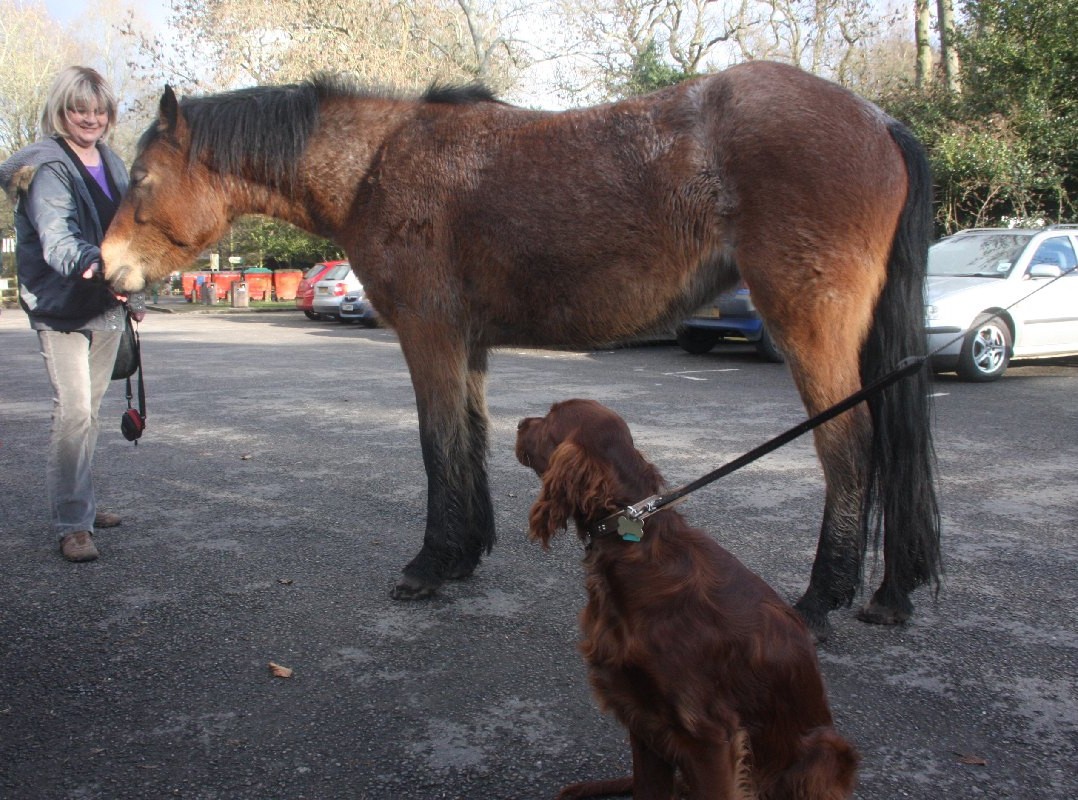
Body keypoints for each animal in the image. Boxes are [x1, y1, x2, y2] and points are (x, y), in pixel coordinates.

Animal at [102, 61, 944, 638]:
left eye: (139, 177)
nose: (106, 269)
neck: (376, 165)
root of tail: (876, 118)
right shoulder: (466, 347)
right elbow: (468, 443)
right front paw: (465, 554)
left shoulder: (430, 337)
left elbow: (437, 446)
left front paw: (429, 566)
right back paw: (888, 592)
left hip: (810, 327)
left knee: (849, 449)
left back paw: (820, 600)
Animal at [513, 401, 858, 800]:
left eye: (551, 418)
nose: (519, 423)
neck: (636, 548)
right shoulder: (643, 716)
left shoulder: (708, 736)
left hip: (824, 752)